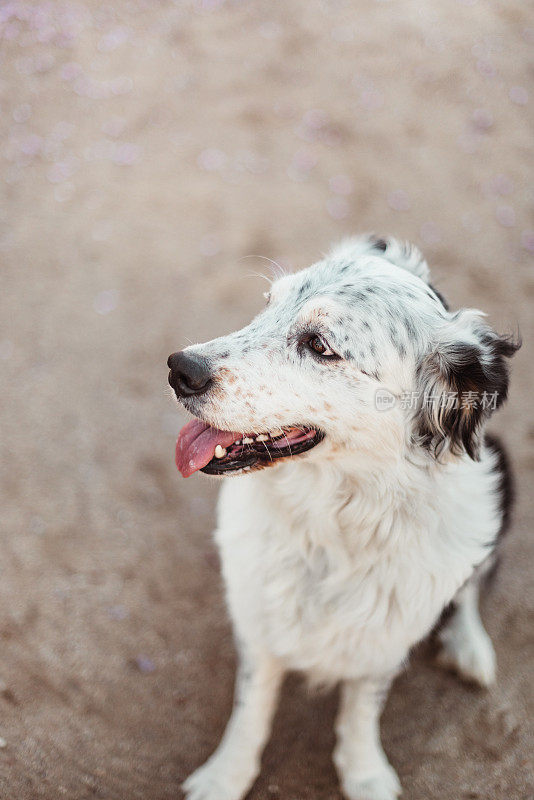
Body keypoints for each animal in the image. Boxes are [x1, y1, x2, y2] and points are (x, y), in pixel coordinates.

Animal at [166, 236, 520, 800]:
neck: (331, 530)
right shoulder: (259, 620)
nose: (180, 368)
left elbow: (361, 710)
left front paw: (365, 774)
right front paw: (226, 776)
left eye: (320, 345)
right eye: (267, 304)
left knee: (470, 587)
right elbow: (251, 706)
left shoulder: (385, 641)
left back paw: (470, 647)